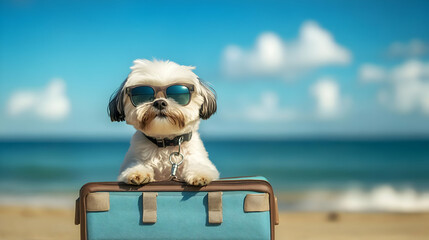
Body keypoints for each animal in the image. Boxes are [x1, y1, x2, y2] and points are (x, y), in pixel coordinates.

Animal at [108, 59, 219, 187]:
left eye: (178, 94)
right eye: (142, 95)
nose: (160, 103)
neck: (166, 144)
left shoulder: (197, 158)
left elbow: (200, 166)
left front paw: (199, 174)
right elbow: (135, 166)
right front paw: (138, 172)